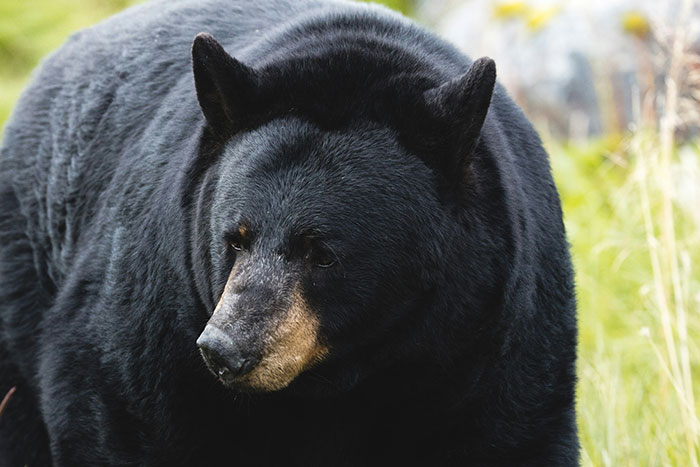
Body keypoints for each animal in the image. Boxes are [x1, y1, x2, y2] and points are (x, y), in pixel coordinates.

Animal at [0, 0, 578, 465]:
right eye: (235, 238)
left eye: (321, 253)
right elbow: (117, 407)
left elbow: (514, 434)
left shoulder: (493, 332)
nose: (225, 348)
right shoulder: (156, 310)